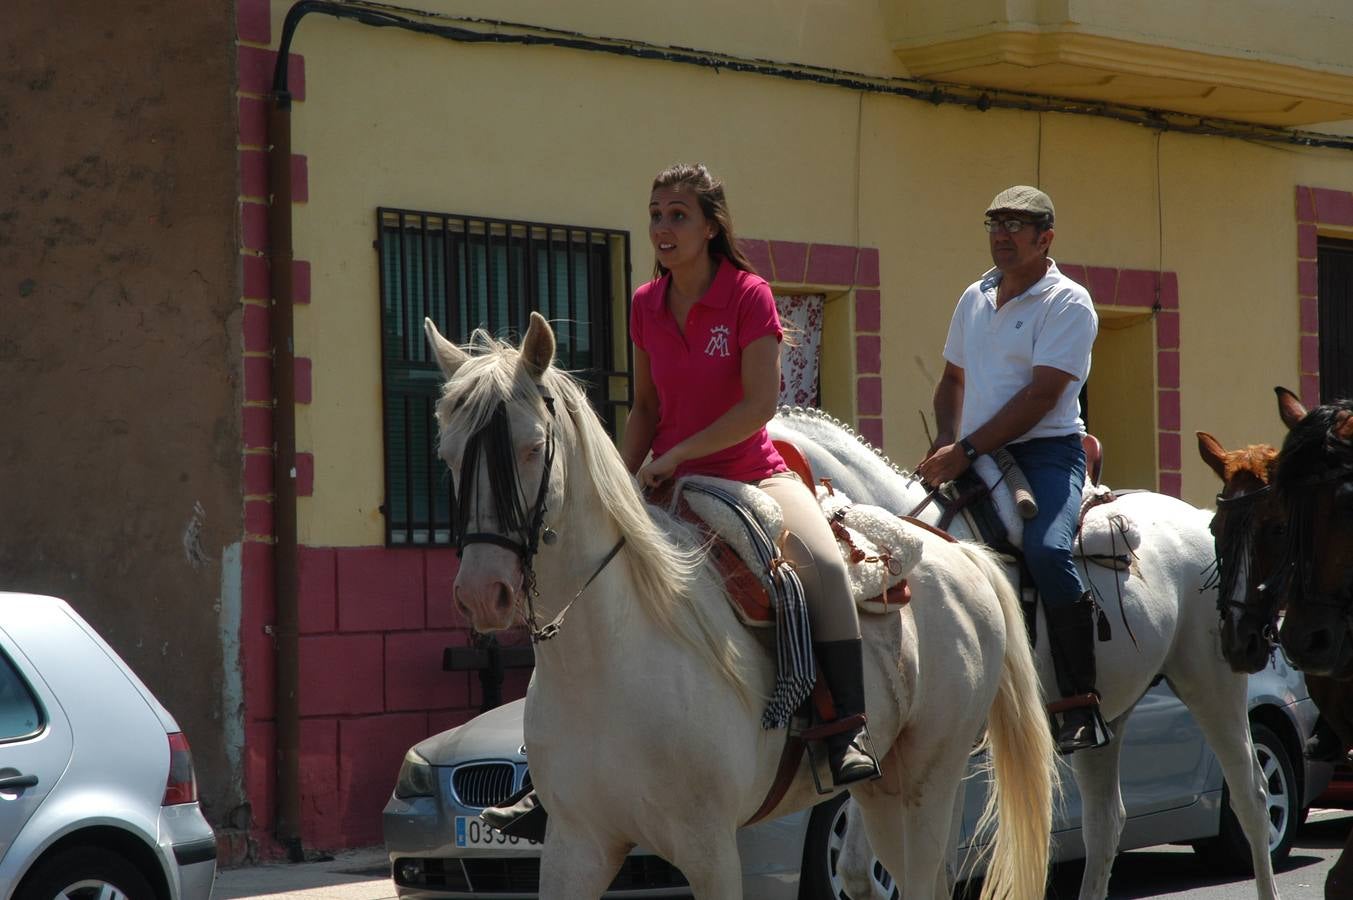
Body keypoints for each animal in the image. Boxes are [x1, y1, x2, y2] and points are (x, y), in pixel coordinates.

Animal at [422, 313, 1055, 898]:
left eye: (533, 449)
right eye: (447, 456)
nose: (482, 592)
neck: (604, 660)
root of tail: (957, 550)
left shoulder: (711, 850)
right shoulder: (576, 846)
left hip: (927, 779)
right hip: (883, 789)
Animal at [773, 406, 1288, 898]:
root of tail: (1194, 518)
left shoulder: (944, 748)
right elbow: (863, 872)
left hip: (1213, 684)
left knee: (1252, 796)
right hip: (1108, 715)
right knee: (1105, 822)